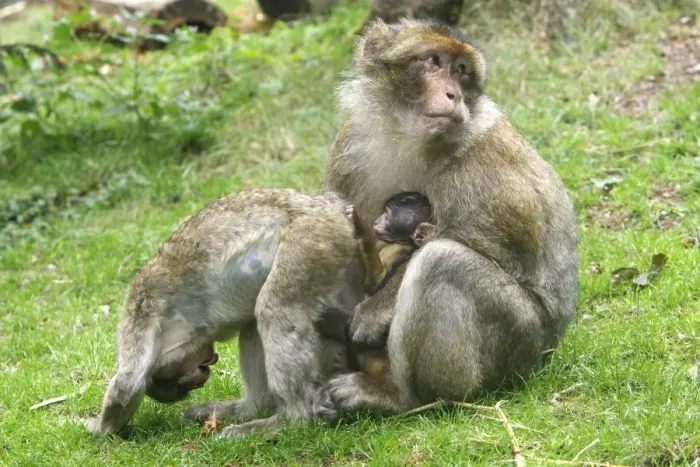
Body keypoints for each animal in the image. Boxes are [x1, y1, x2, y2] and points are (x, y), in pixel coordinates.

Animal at [82, 188, 393, 439]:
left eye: (178, 385)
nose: (203, 374)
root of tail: (327, 207)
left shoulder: (140, 309)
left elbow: (128, 381)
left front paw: (98, 427)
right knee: (256, 322)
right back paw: (251, 408)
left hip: (315, 238)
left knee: (275, 309)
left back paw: (292, 419)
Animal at [323, 18, 579, 414]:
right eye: (433, 61)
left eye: (461, 72)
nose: (453, 95)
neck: (407, 137)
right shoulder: (349, 146)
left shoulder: (486, 162)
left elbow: (490, 249)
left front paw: (375, 310)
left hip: (519, 342)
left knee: (442, 262)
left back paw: (400, 398)